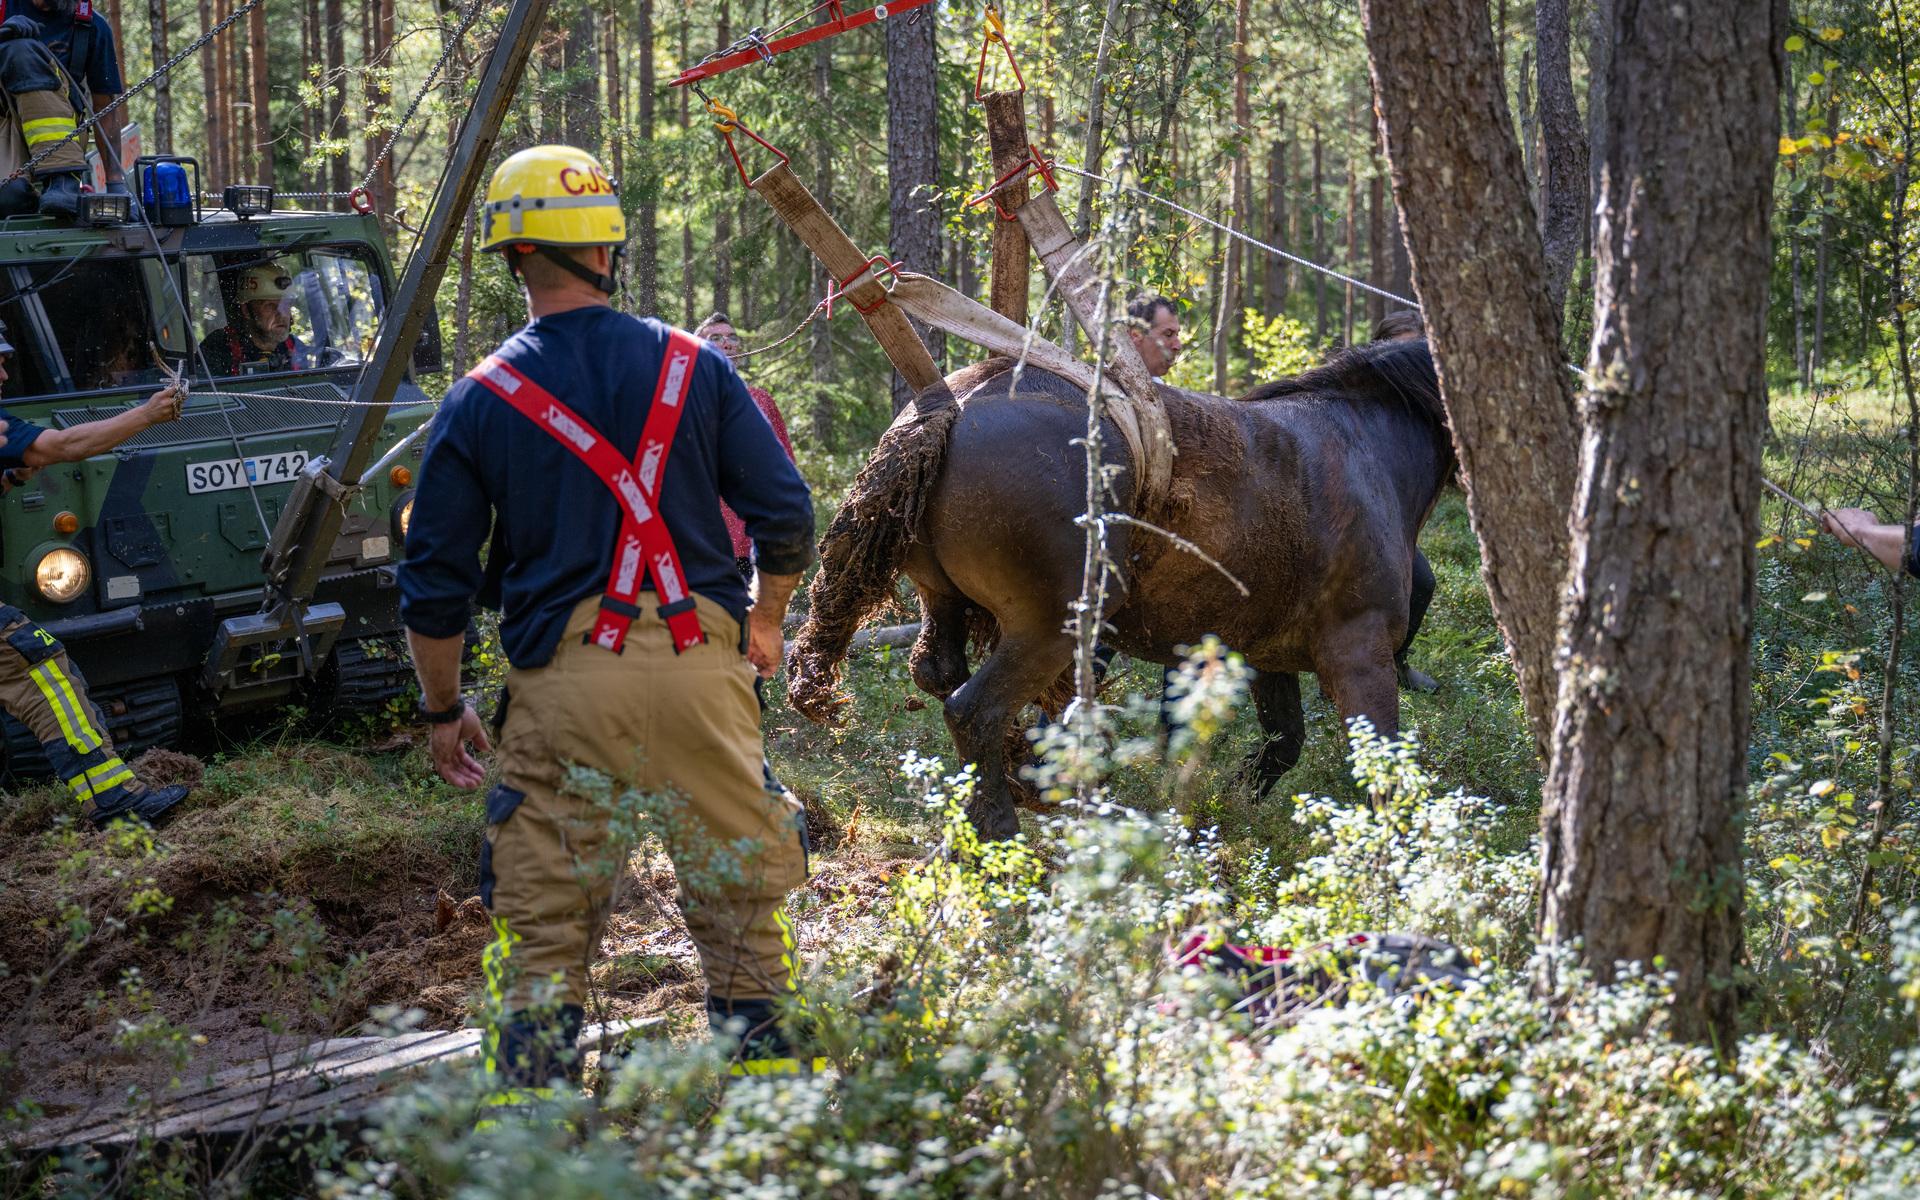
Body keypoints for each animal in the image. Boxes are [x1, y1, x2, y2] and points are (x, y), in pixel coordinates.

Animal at [787, 332, 1443, 837]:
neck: (1365, 442)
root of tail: (952, 406)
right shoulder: (1359, 655)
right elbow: (1381, 771)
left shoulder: (1265, 656)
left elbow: (1283, 744)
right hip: (1051, 629)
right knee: (971, 709)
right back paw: (1000, 835)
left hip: (947, 606)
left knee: (939, 674)